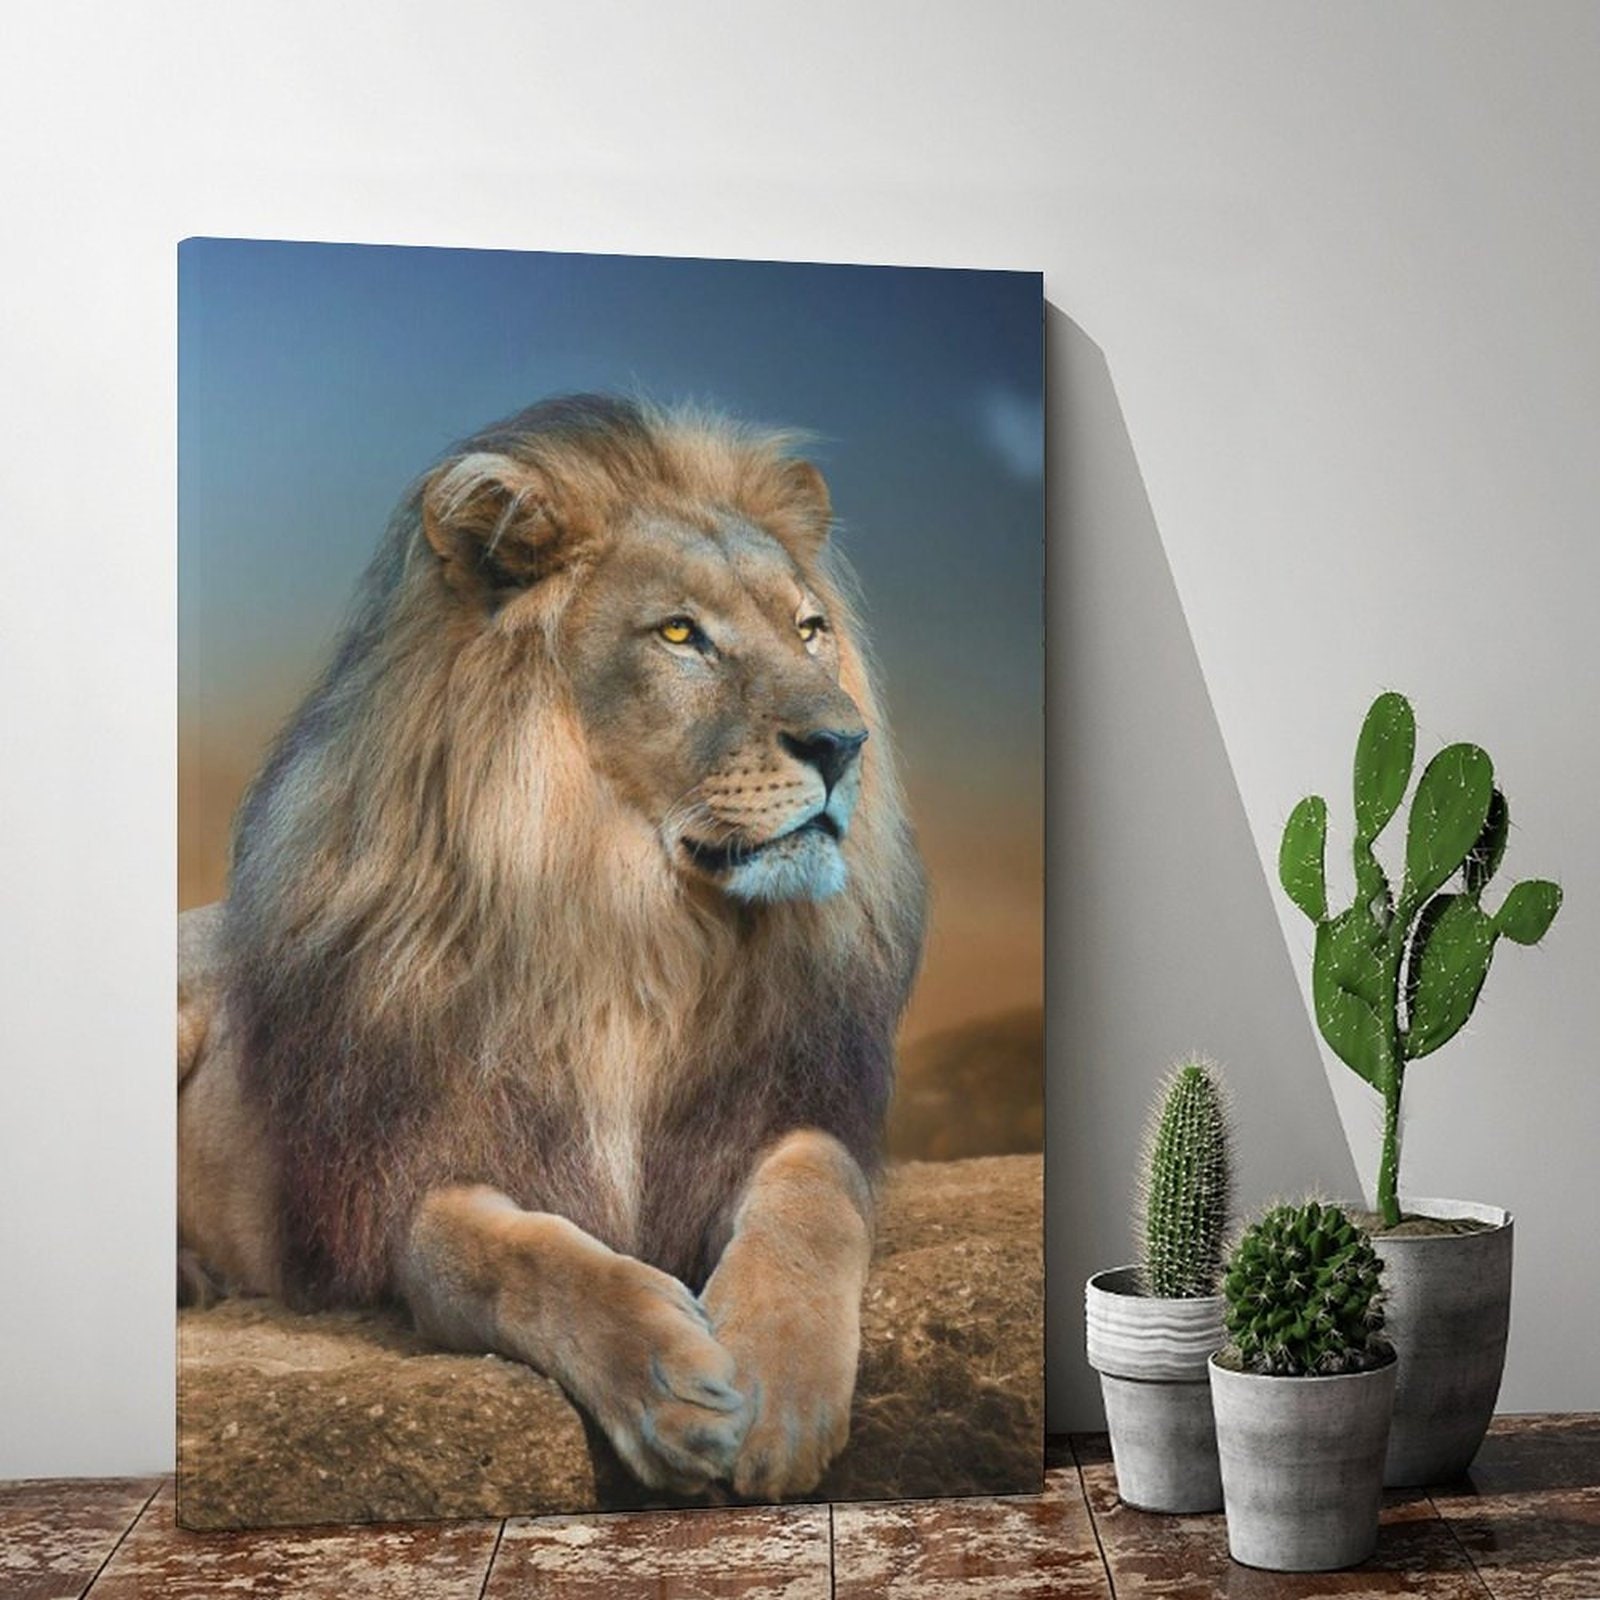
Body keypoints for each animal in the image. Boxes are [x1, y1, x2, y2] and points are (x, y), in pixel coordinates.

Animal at [177, 394, 926, 1501]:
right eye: (679, 633)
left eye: (809, 629)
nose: (843, 745)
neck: (630, 926)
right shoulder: (413, 1175)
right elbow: (508, 1253)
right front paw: (669, 1385)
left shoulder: (778, 1105)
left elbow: (814, 1189)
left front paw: (778, 1386)